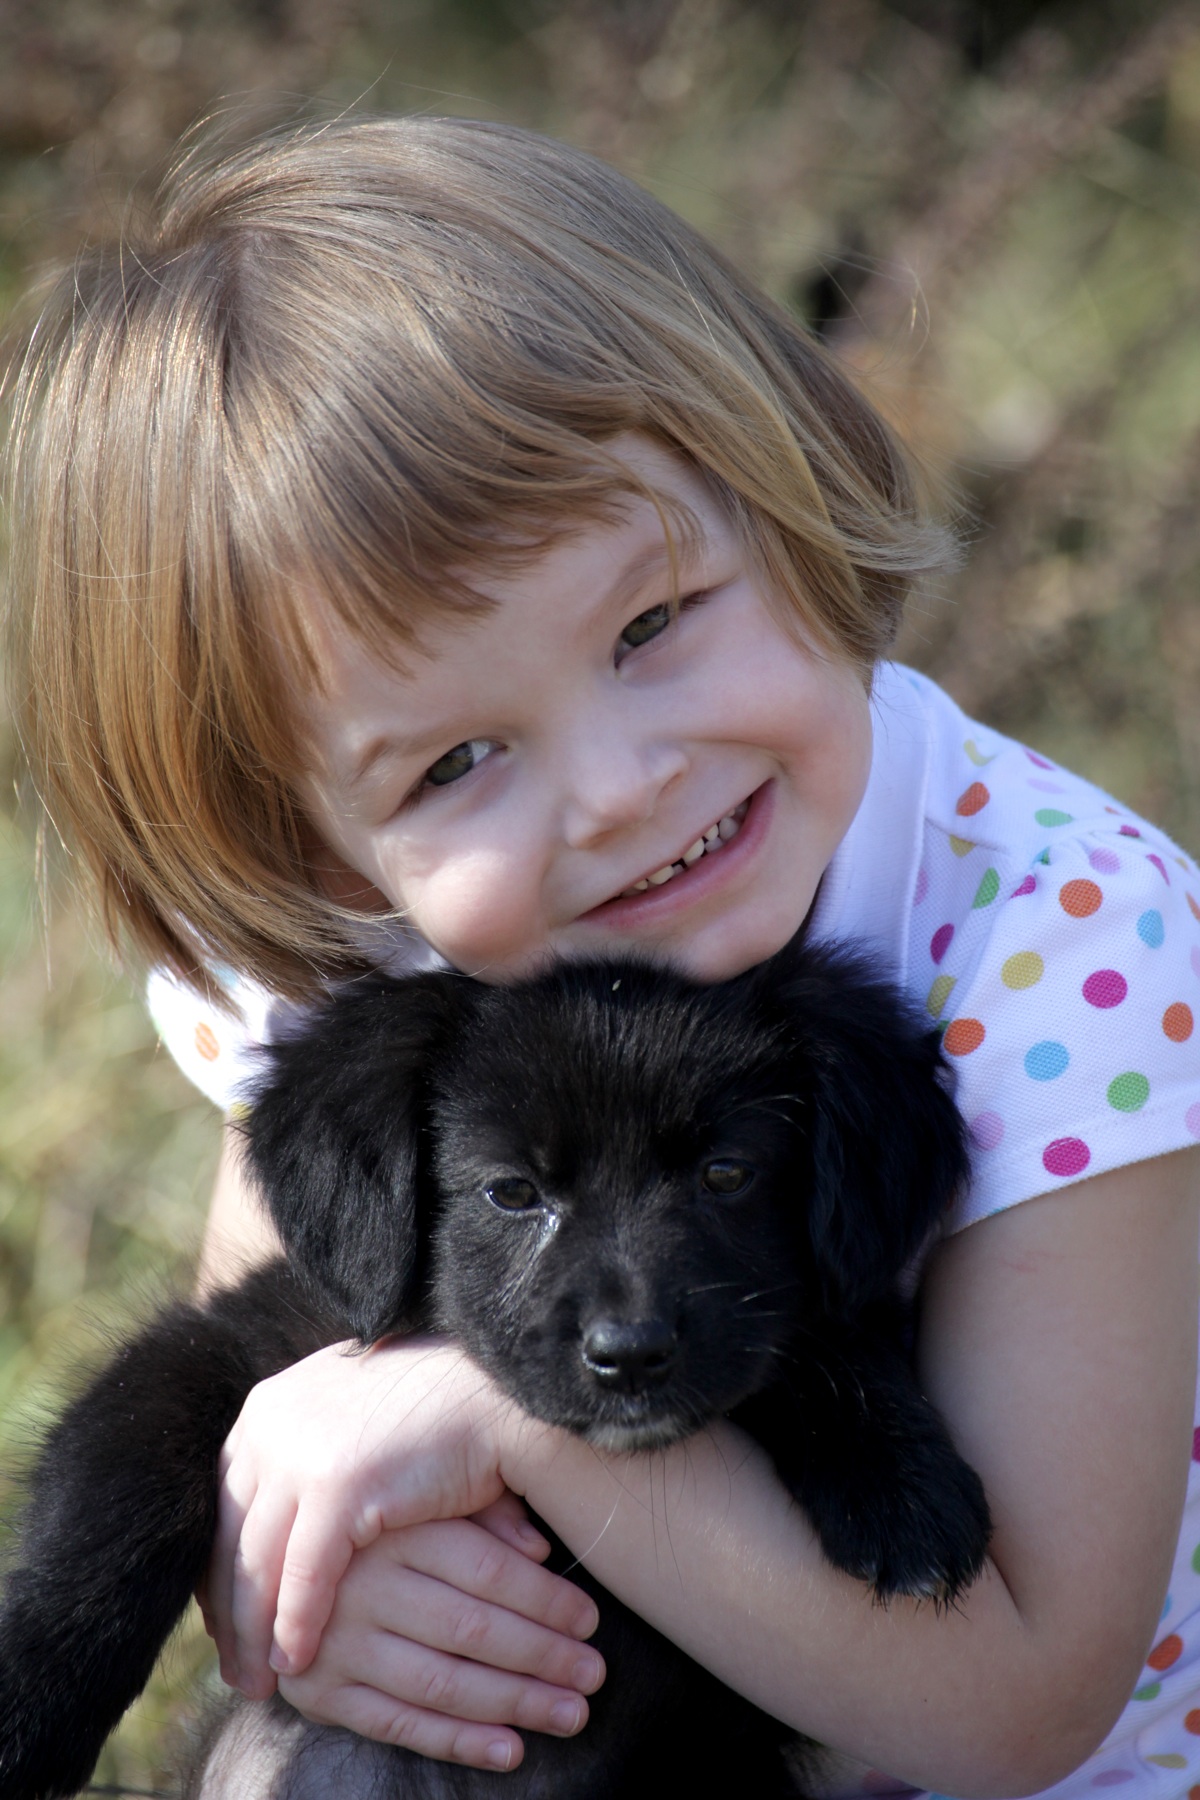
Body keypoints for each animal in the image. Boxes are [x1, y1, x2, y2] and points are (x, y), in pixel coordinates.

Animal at [0, 943, 993, 1800]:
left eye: (725, 1174)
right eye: (513, 1191)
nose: (629, 1353)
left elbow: (819, 1342)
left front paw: (904, 1488)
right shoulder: (222, 1345)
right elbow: (117, 1496)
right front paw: (28, 1707)